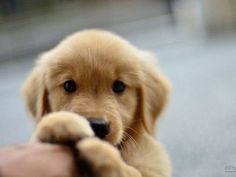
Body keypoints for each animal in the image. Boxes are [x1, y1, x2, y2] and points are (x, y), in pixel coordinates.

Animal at [21, 29, 171, 177]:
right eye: (69, 85)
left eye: (119, 86)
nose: (97, 126)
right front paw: (58, 123)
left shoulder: (152, 168)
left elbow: (127, 170)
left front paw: (97, 149)